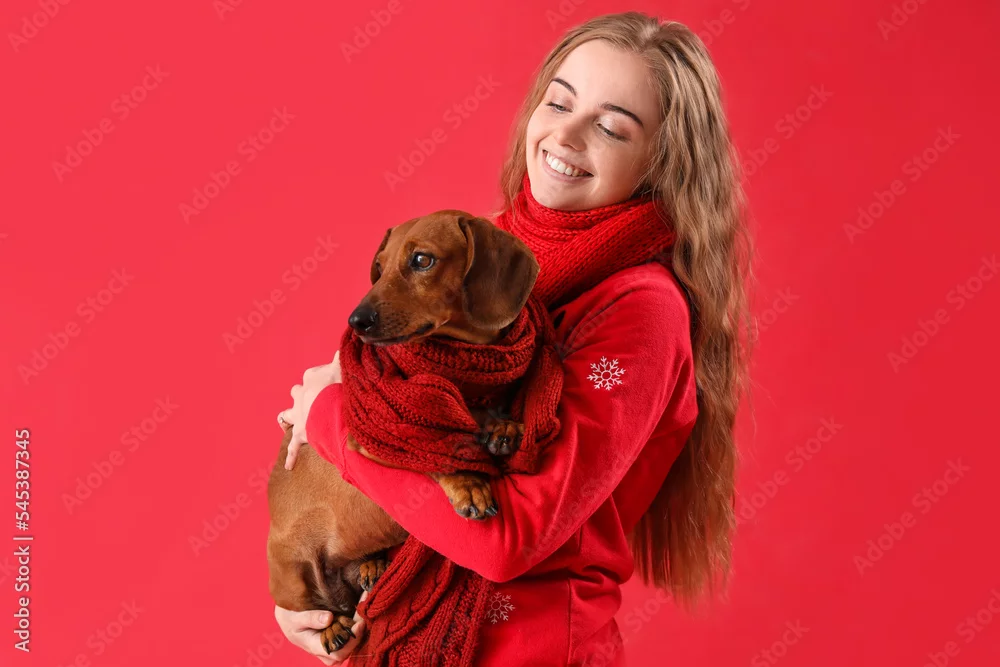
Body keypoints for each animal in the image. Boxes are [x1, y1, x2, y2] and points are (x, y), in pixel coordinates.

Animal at [267, 210, 539, 654]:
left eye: (422, 260)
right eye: (378, 268)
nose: (356, 321)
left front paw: (498, 423)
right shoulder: (375, 436)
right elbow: (428, 449)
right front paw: (468, 483)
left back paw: (372, 565)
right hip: (290, 571)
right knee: (315, 606)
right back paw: (331, 624)